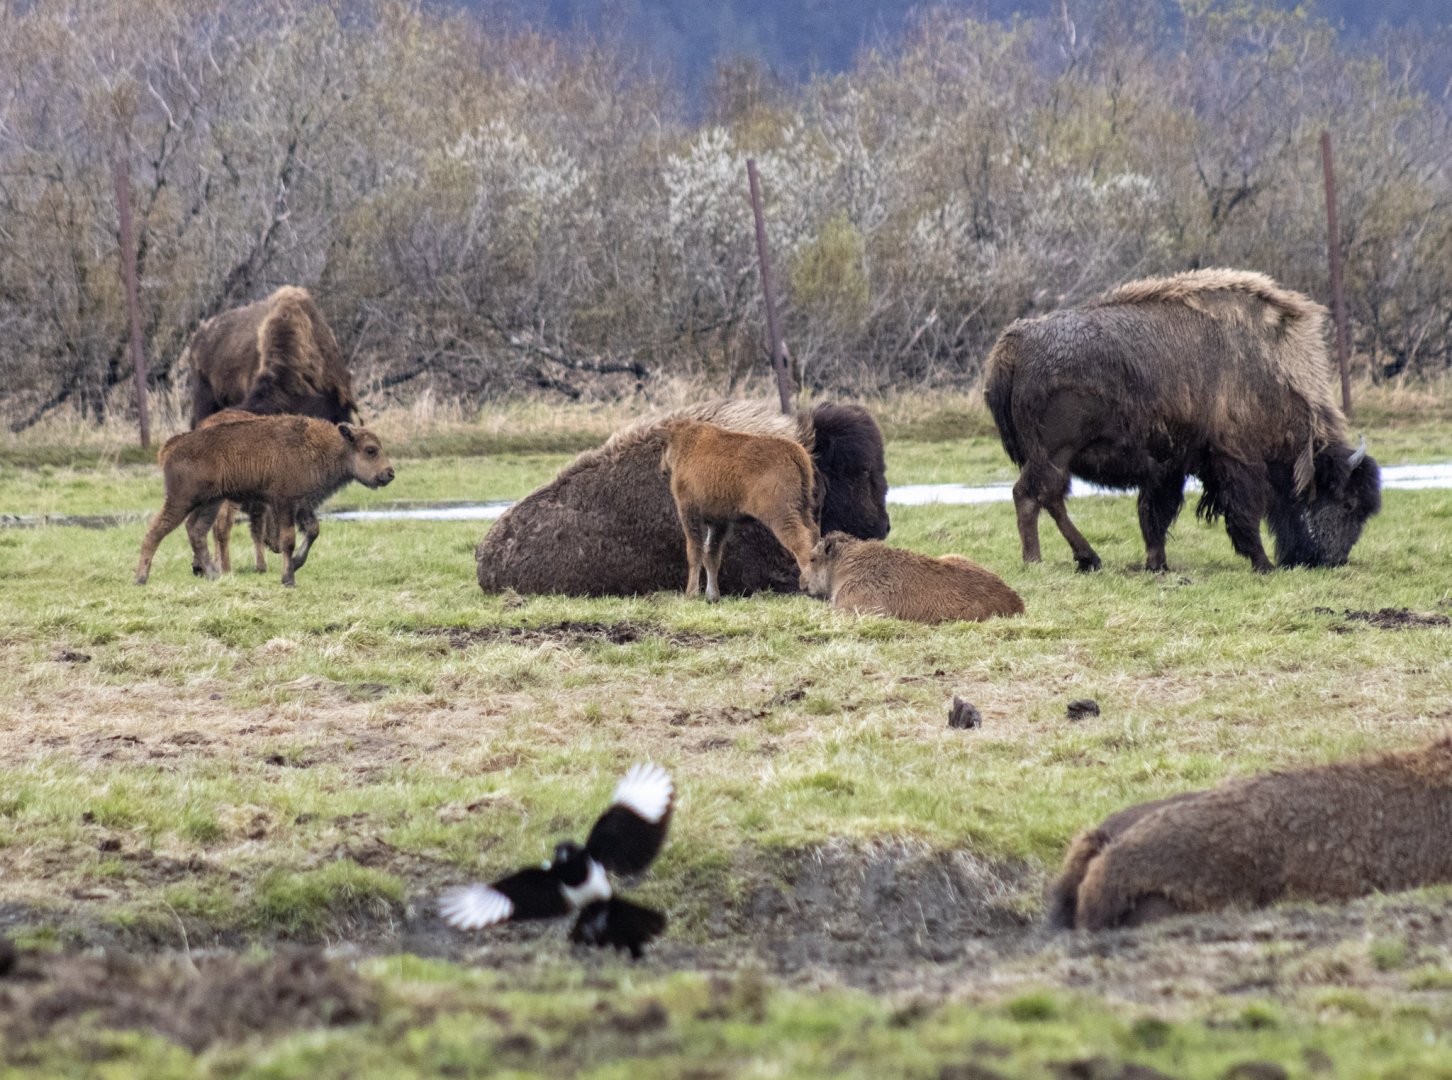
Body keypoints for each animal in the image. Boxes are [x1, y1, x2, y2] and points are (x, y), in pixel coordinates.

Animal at [984, 269, 1381, 573]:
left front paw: (1157, 563)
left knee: (1049, 497)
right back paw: (1041, 560)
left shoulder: (1170, 467)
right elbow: (1243, 514)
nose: (1334, 560)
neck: (1273, 373)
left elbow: (1155, 514)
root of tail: (1015, 343)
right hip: (1054, 453)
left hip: (1054, 458)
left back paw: (1086, 558)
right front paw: (1263, 563)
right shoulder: (1237, 460)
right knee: (1031, 495)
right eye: (1348, 503)